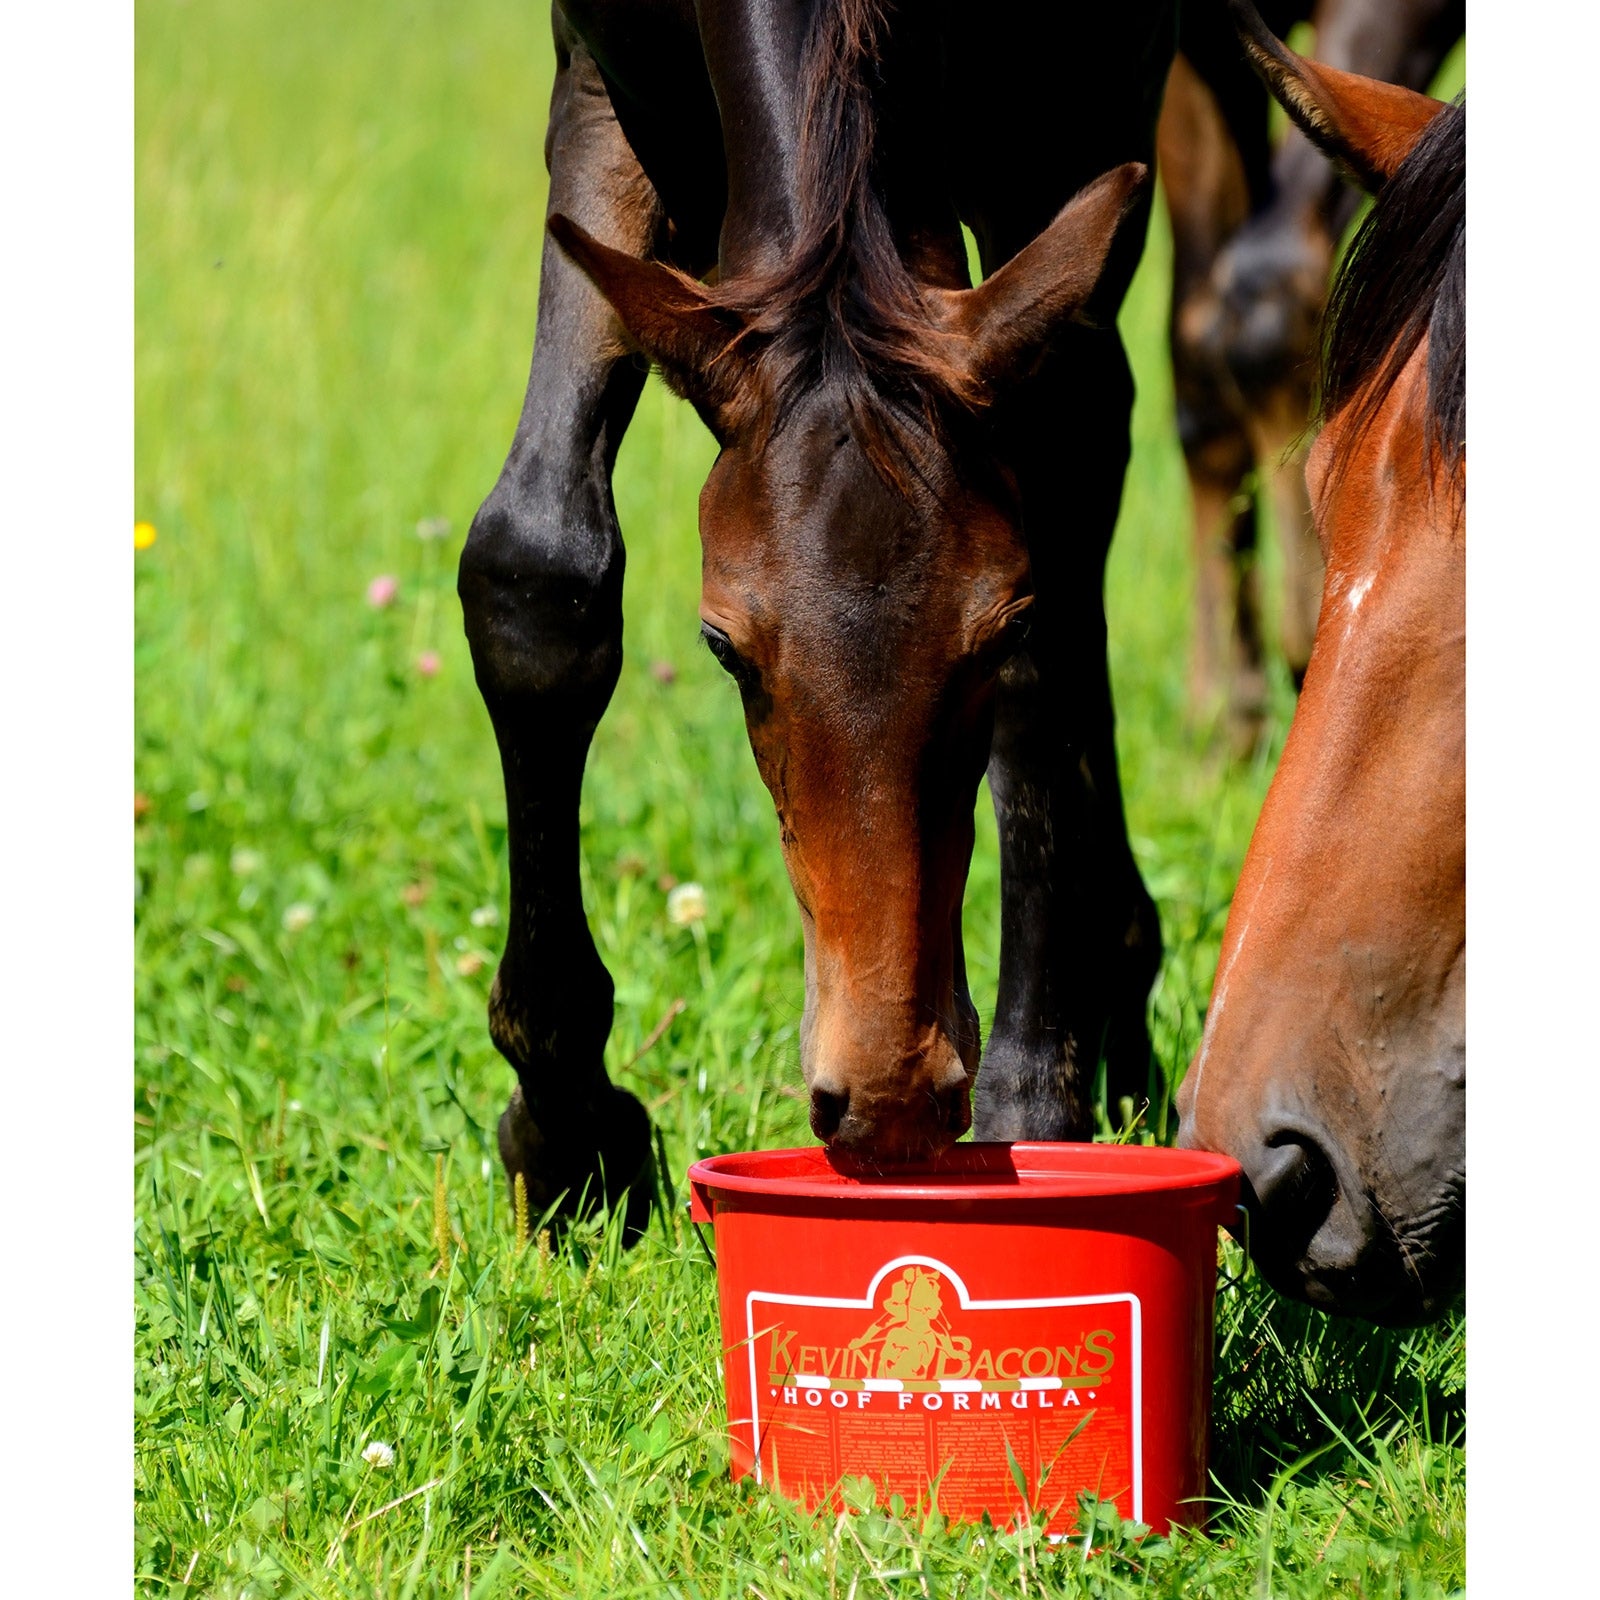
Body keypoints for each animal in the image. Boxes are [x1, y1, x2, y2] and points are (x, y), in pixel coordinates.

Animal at [459, 0, 1179, 1227]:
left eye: (1000, 627)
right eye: (723, 647)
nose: (887, 1100)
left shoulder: (1076, 116)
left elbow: (1054, 616)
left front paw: (1036, 1100)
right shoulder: (600, 82)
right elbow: (536, 568)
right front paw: (569, 1140)